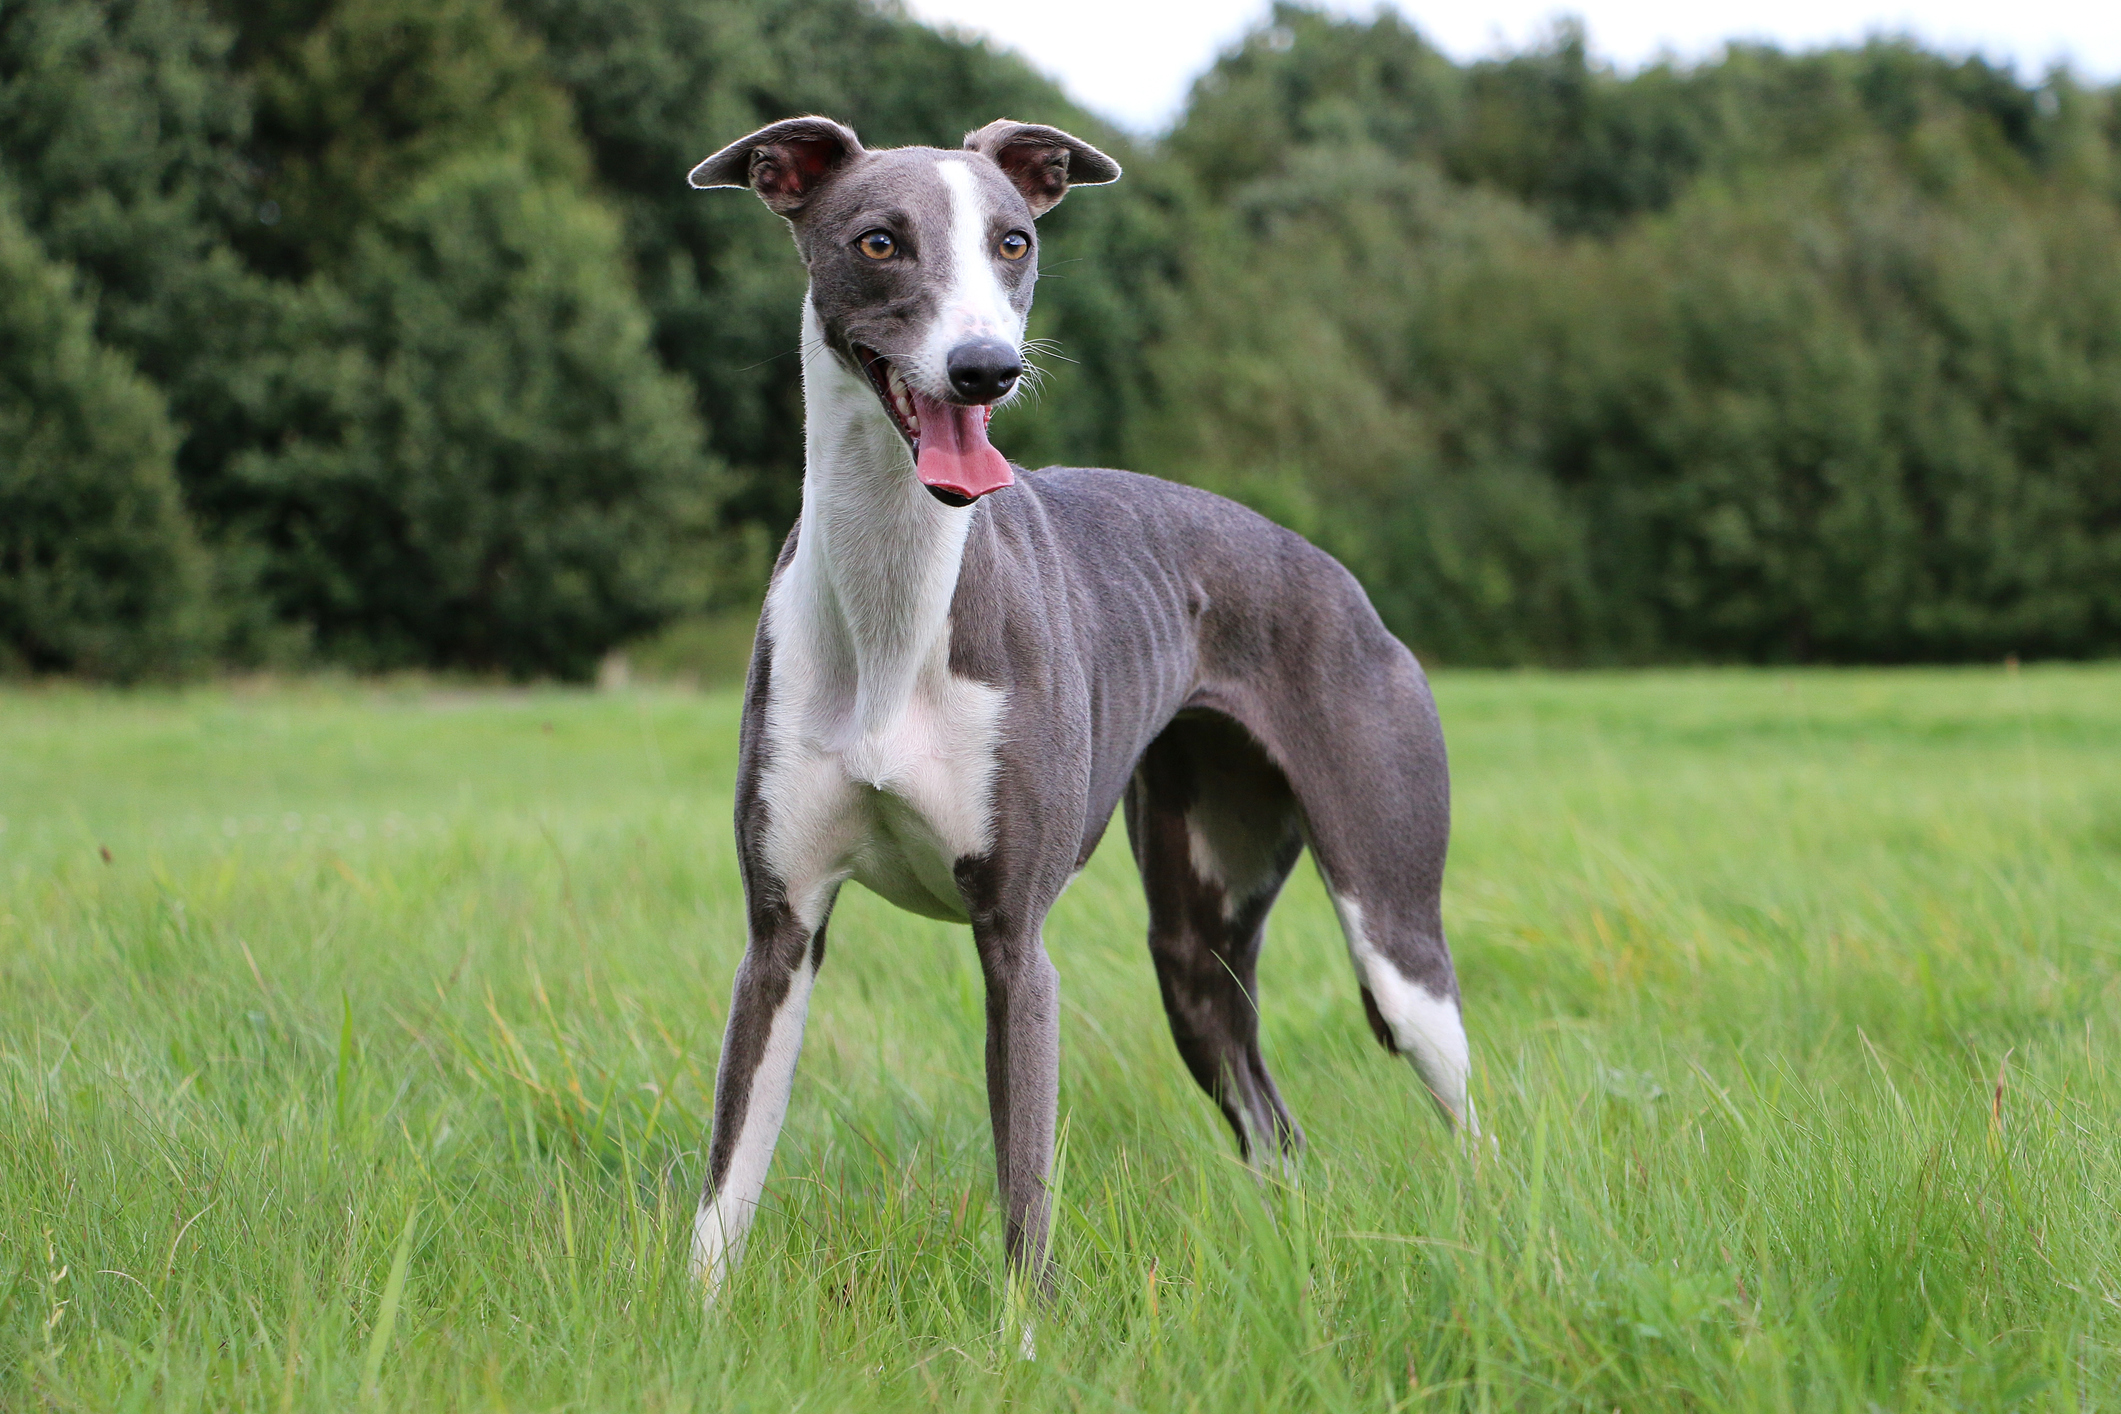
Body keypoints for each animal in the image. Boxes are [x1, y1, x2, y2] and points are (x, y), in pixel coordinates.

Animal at [682, 116, 1476, 1314]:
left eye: (1013, 240)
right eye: (878, 240)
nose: (985, 369)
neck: (894, 608)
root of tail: (1341, 582)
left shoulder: (1016, 942)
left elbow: (1025, 1188)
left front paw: (1018, 1337)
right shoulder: (779, 934)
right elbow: (727, 1184)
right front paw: (688, 1324)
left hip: (1394, 930)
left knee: (1468, 1120)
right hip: (1197, 957)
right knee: (1275, 1130)